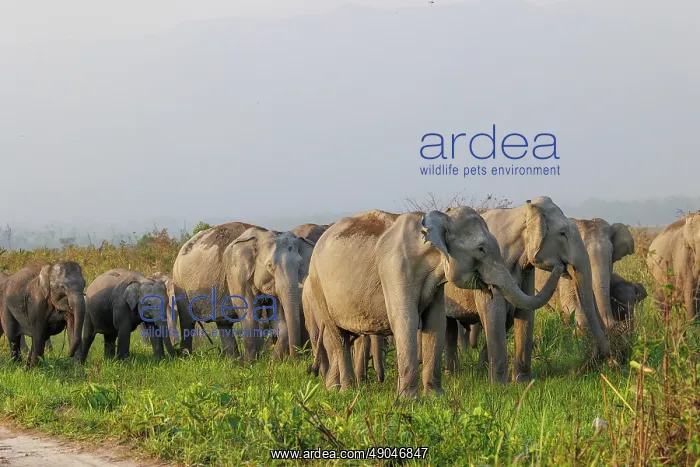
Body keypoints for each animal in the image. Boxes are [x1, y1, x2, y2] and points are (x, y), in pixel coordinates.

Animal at [172, 222, 315, 363]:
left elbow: (278, 318)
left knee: (223, 323)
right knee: (187, 321)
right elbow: (247, 311)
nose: (296, 361)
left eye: (300, 266)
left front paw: (272, 362)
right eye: (270, 266)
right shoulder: (235, 272)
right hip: (179, 282)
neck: (262, 234)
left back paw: (232, 362)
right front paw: (251, 365)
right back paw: (187, 358)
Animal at [304, 207, 564, 398]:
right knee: (338, 338)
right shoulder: (394, 269)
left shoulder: (437, 281)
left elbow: (435, 324)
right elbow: (405, 321)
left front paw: (436, 396)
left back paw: (331, 389)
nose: (559, 264)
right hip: (318, 287)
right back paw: (346, 392)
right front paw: (409, 401)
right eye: (480, 249)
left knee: (344, 338)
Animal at [443, 197, 611, 382]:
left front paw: (521, 381)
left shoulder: (526, 271)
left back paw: (456, 375)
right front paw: (499, 385)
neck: (521, 210)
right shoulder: (488, 266)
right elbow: (495, 311)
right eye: (562, 233)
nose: (611, 362)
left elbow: (525, 312)